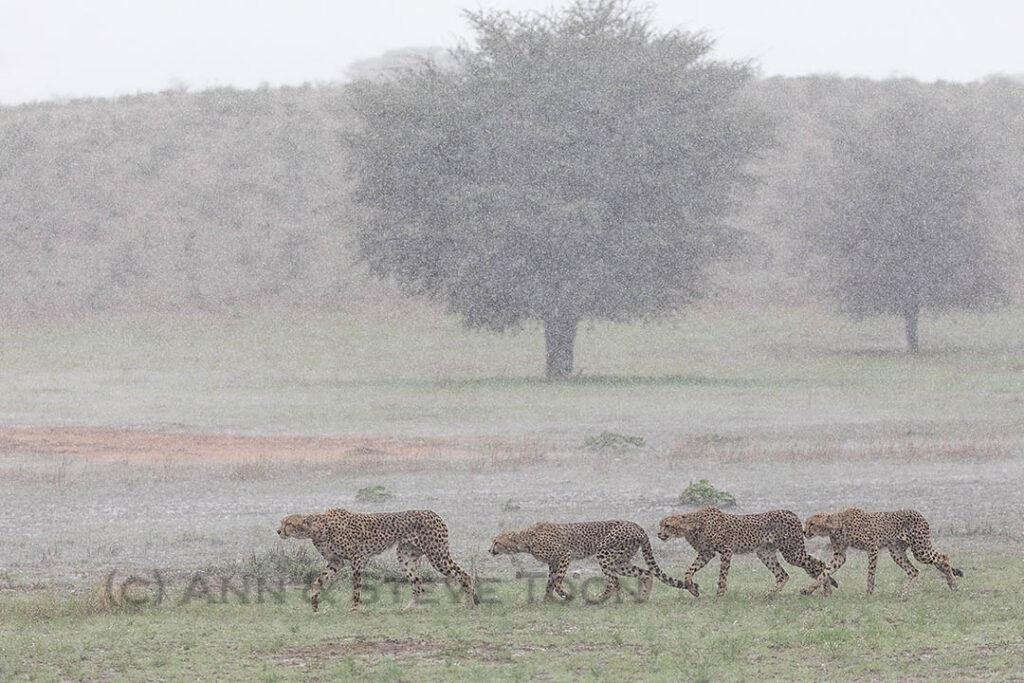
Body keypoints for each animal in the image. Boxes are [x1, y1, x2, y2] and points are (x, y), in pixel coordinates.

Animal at [277, 508, 477, 612]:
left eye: (289, 523)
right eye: (282, 522)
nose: (278, 531)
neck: (318, 529)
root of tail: (433, 513)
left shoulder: (357, 559)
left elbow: (356, 587)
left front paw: (355, 609)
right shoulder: (336, 562)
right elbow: (317, 581)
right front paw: (314, 605)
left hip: (437, 555)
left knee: (465, 576)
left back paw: (469, 605)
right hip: (405, 556)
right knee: (419, 587)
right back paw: (407, 610)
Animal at [489, 520, 688, 604]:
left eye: (496, 542)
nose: (489, 550)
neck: (524, 540)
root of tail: (637, 526)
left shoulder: (564, 555)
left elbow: (557, 581)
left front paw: (567, 596)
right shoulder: (553, 562)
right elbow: (550, 582)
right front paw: (546, 600)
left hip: (604, 554)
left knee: (614, 582)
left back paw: (598, 600)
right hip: (621, 561)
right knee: (646, 573)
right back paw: (642, 598)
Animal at [657, 506, 835, 597]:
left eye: (667, 525)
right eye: (661, 525)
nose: (658, 534)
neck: (692, 525)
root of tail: (789, 512)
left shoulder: (726, 550)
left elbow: (722, 576)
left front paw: (719, 595)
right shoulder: (706, 553)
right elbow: (689, 571)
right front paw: (692, 589)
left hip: (792, 552)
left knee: (821, 564)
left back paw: (826, 591)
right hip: (765, 553)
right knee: (783, 574)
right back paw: (770, 595)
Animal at [801, 508, 963, 596]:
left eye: (812, 523)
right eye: (807, 523)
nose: (804, 532)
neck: (836, 524)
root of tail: (919, 513)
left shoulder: (872, 547)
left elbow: (870, 574)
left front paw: (869, 593)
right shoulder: (840, 556)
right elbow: (825, 572)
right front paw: (808, 589)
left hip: (920, 550)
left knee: (943, 557)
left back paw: (954, 584)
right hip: (896, 552)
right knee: (914, 570)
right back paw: (905, 593)